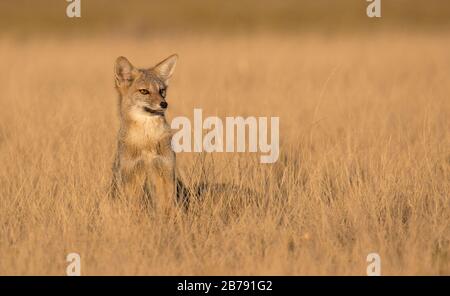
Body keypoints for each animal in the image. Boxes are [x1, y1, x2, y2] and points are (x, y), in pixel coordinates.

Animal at [110, 54, 185, 212]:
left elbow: (167, 206)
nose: (164, 104)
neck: (147, 140)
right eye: (144, 91)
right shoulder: (131, 175)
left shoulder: (166, 170)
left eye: (162, 91)